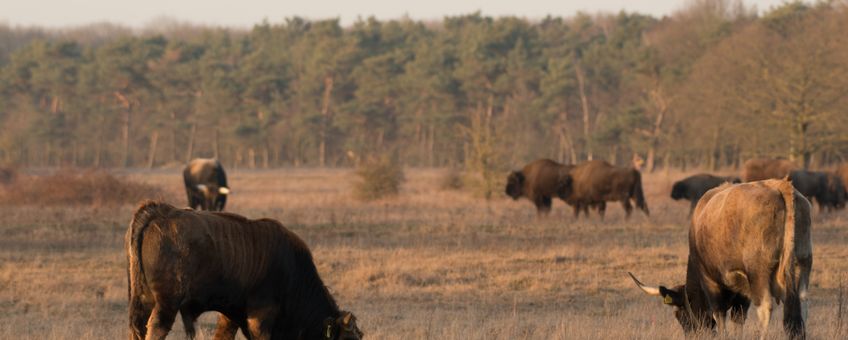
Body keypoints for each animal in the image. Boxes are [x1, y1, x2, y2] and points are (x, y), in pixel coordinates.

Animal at [126, 202, 362, 340]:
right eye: (350, 339)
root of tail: (159, 212)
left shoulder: (230, 315)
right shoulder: (261, 317)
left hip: (144, 300)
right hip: (167, 302)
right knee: (156, 328)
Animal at [632, 179, 812, 338]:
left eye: (681, 316)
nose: (692, 336)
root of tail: (780, 186)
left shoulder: (711, 283)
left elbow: (720, 318)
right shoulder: (742, 295)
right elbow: (738, 321)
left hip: (758, 272)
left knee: (765, 307)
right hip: (802, 265)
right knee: (802, 303)